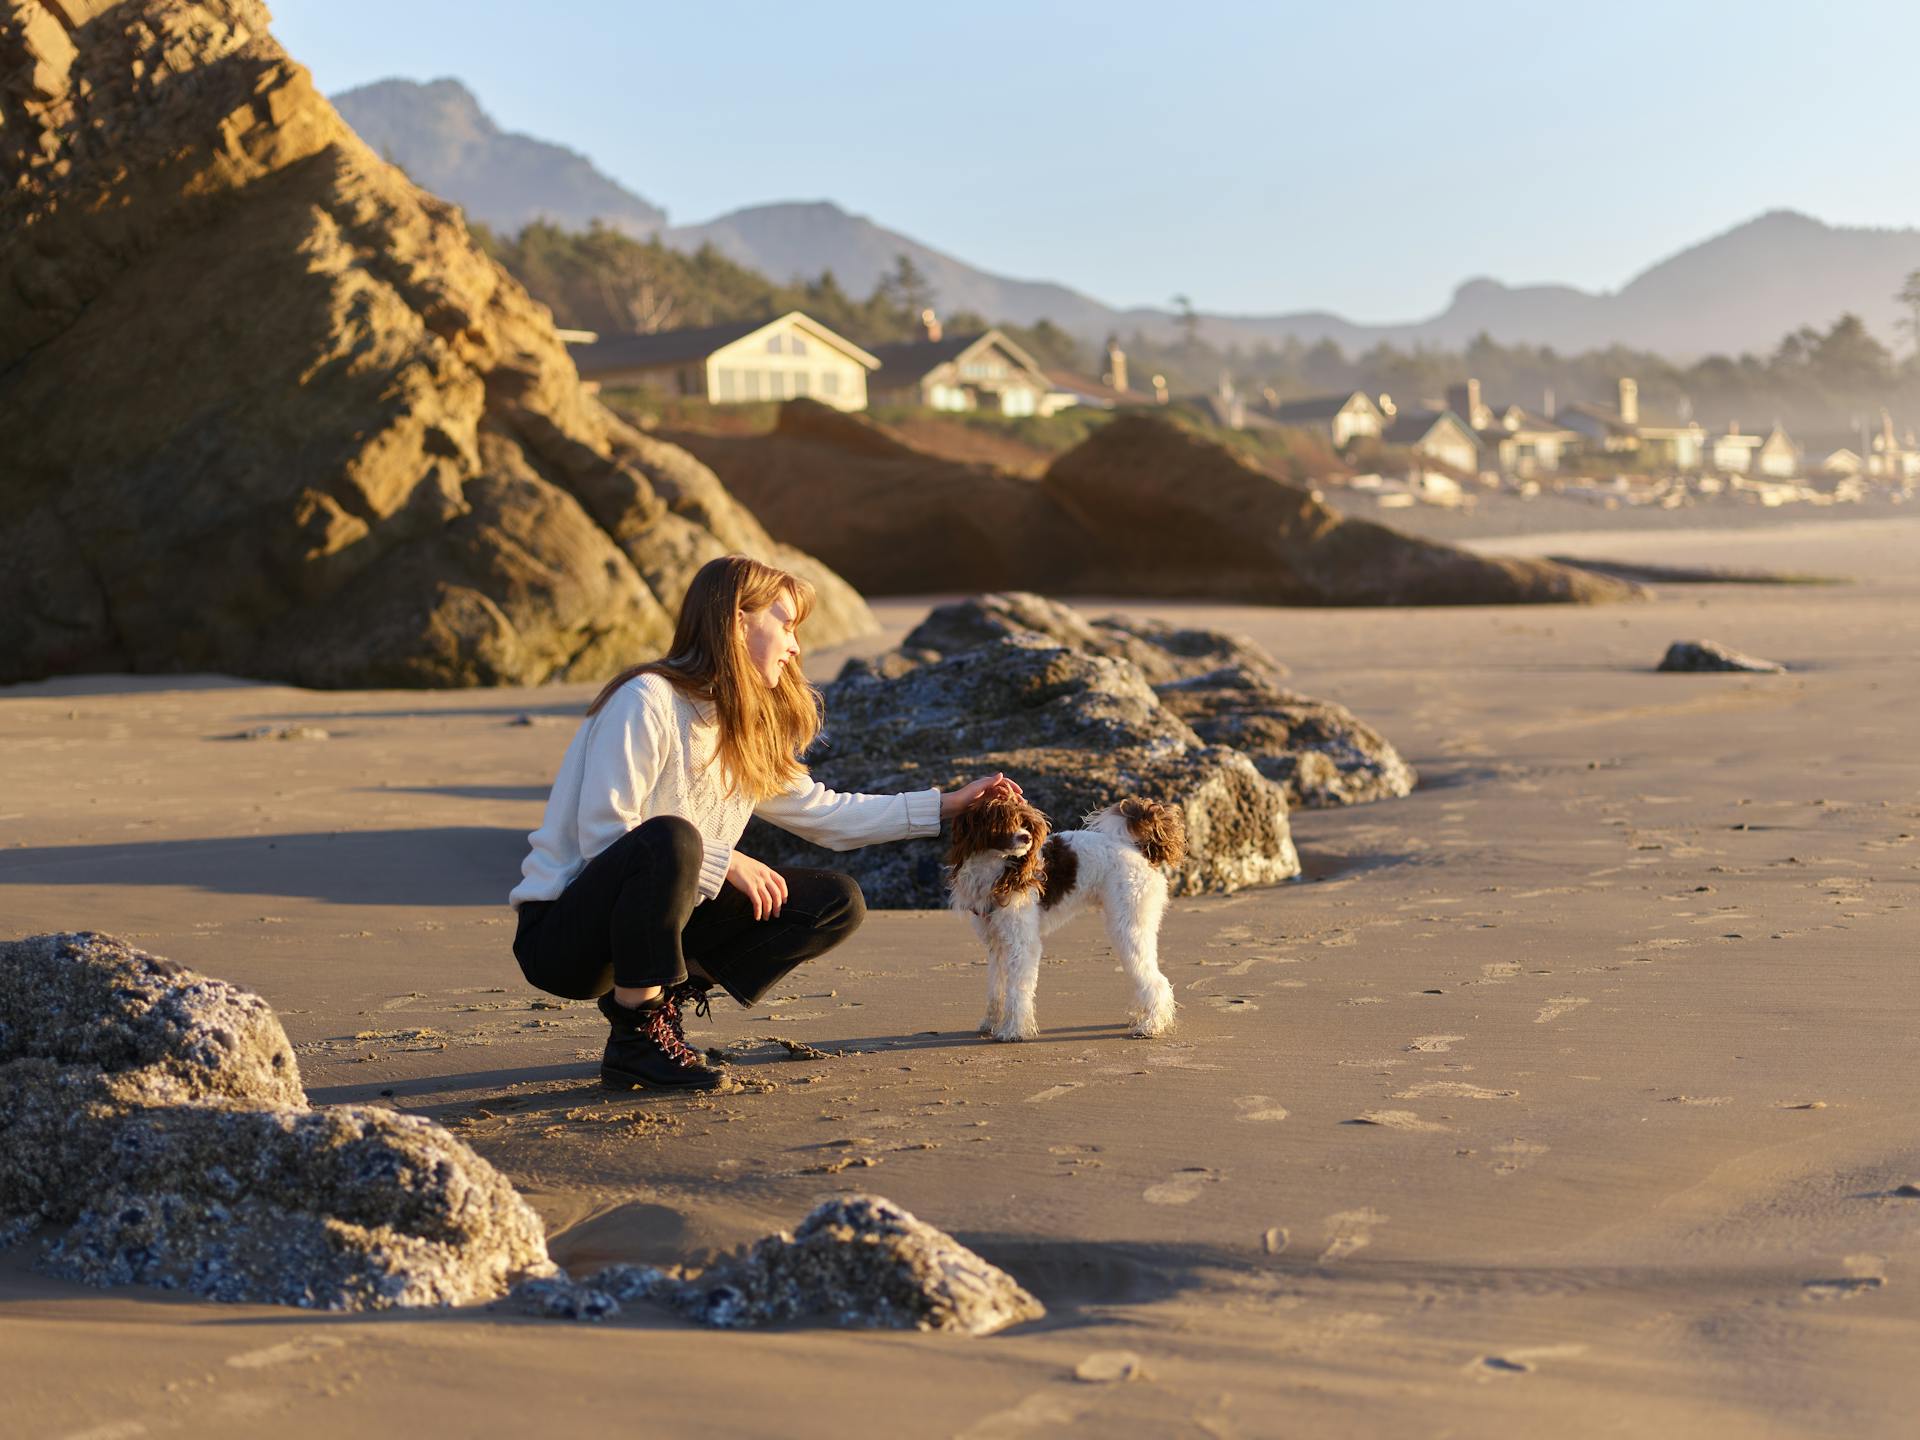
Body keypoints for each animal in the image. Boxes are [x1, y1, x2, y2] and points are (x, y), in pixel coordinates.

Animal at [944, 794, 1182, 1044]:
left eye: (1024, 822)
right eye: (1001, 821)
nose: (1027, 837)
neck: (997, 869)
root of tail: (1138, 849)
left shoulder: (1022, 944)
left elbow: (1017, 990)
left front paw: (1014, 1031)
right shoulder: (996, 943)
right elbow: (995, 988)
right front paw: (990, 1023)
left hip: (1128, 927)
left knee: (1156, 981)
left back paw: (1151, 1025)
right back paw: (1142, 1017)